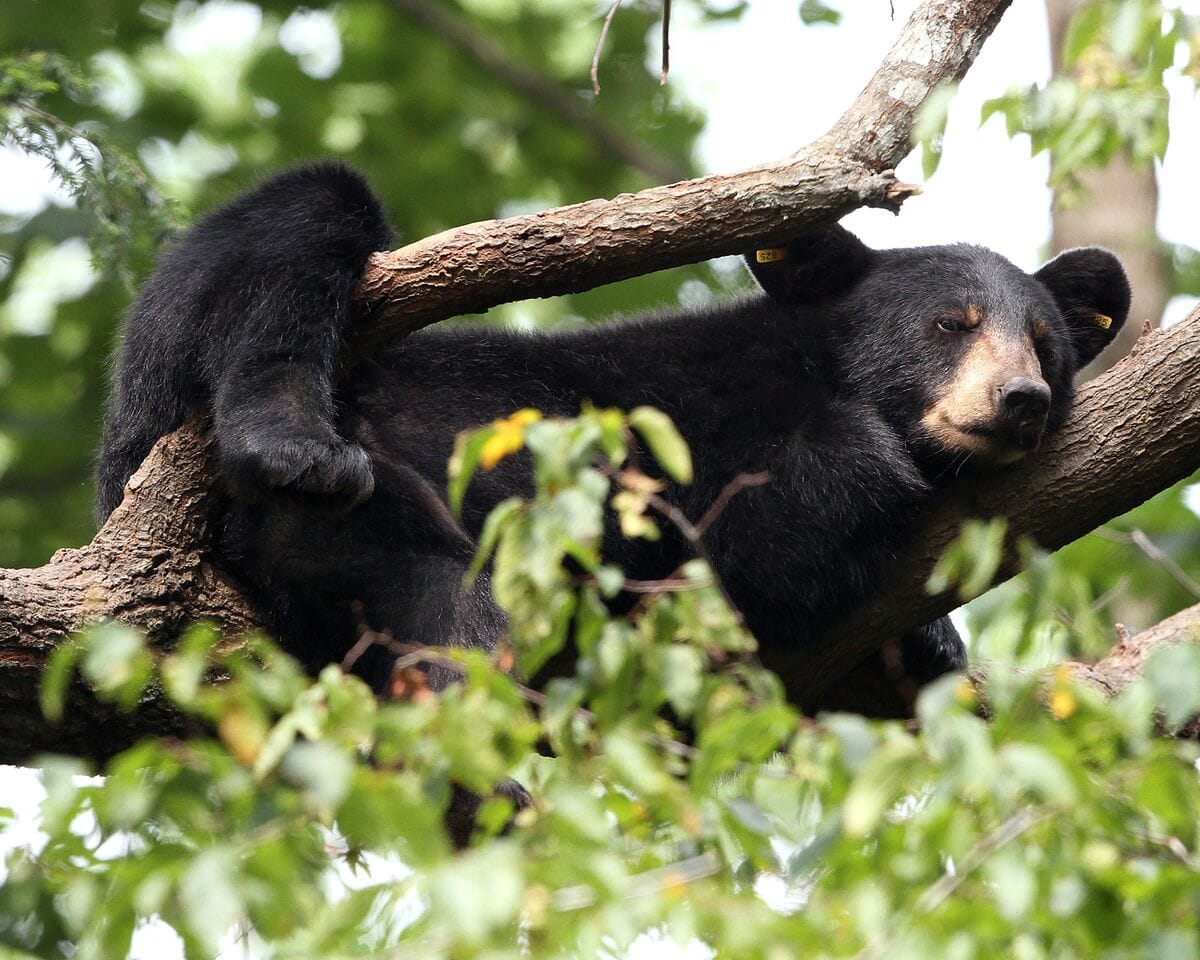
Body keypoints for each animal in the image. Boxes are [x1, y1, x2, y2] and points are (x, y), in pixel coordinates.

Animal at [95, 163, 1130, 716]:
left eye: (1044, 342)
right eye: (949, 326)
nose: (1020, 398)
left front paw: (932, 642)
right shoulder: (701, 421)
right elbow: (749, 542)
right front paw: (868, 477)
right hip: (191, 374)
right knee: (304, 216)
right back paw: (295, 445)